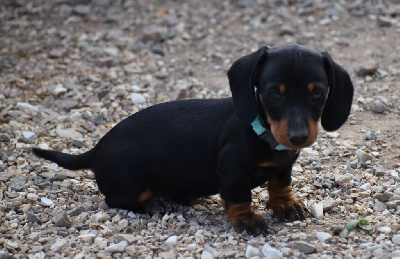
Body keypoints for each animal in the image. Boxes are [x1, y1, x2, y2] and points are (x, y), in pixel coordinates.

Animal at [33, 45, 354, 238]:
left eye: (317, 94)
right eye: (274, 94)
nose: (299, 137)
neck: (262, 133)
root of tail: (96, 149)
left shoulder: (283, 166)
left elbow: (280, 184)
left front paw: (286, 205)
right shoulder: (232, 170)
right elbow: (239, 198)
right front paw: (247, 220)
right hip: (130, 181)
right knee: (116, 199)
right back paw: (157, 202)